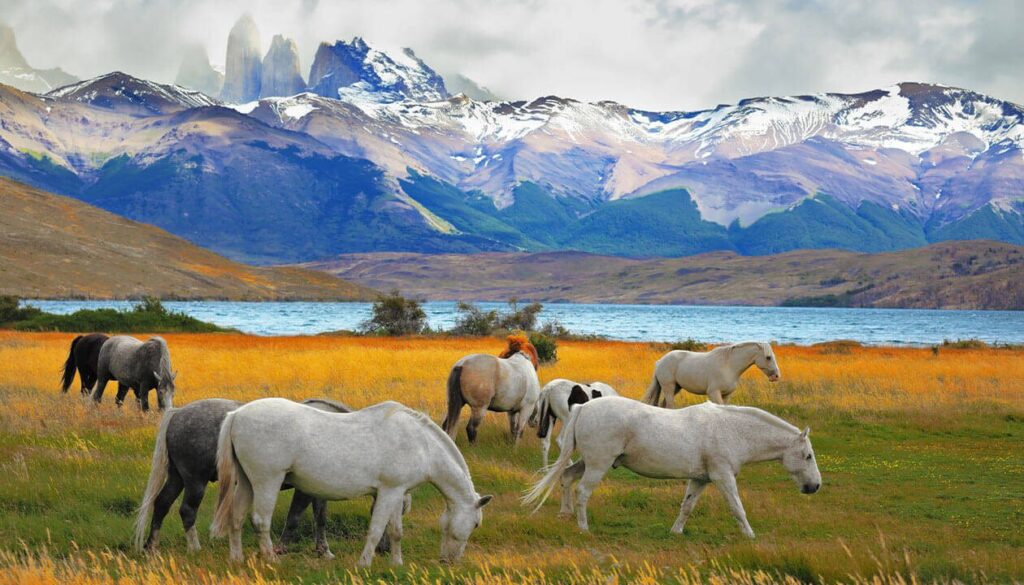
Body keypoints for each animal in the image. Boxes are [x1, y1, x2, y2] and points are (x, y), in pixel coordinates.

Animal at [134, 398, 397, 558]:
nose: (384, 549)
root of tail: (178, 413)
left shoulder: (321, 489)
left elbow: (320, 519)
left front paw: (324, 551)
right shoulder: (305, 490)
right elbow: (294, 518)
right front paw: (280, 548)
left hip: (177, 477)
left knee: (162, 504)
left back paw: (151, 547)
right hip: (195, 481)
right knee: (187, 510)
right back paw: (195, 547)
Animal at [210, 398, 492, 566]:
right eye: (476, 524)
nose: (450, 561)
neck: (421, 444)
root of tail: (237, 414)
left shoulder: (396, 492)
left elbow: (395, 531)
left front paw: (397, 564)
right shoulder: (389, 492)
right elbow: (376, 529)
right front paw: (364, 564)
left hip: (247, 482)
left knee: (236, 517)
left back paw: (236, 559)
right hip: (266, 481)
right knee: (260, 521)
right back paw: (270, 559)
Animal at [523, 397, 821, 537]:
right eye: (807, 456)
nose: (815, 486)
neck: (732, 430)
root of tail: (582, 407)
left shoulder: (701, 479)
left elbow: (687, 506)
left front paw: (676, 531)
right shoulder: (723, 476)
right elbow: (737, 507)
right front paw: (749, 534)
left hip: (589, 461)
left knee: (566, 477)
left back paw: (565, 514)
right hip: (599, 463)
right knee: (583, 491)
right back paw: (583, 527)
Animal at [643, 342, 781, 406]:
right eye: (768, 357)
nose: (776, 376)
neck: (729, 366)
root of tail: (660, 361)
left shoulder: (726, 395)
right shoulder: (714, 393)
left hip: (676, 387)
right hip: (669, 387)